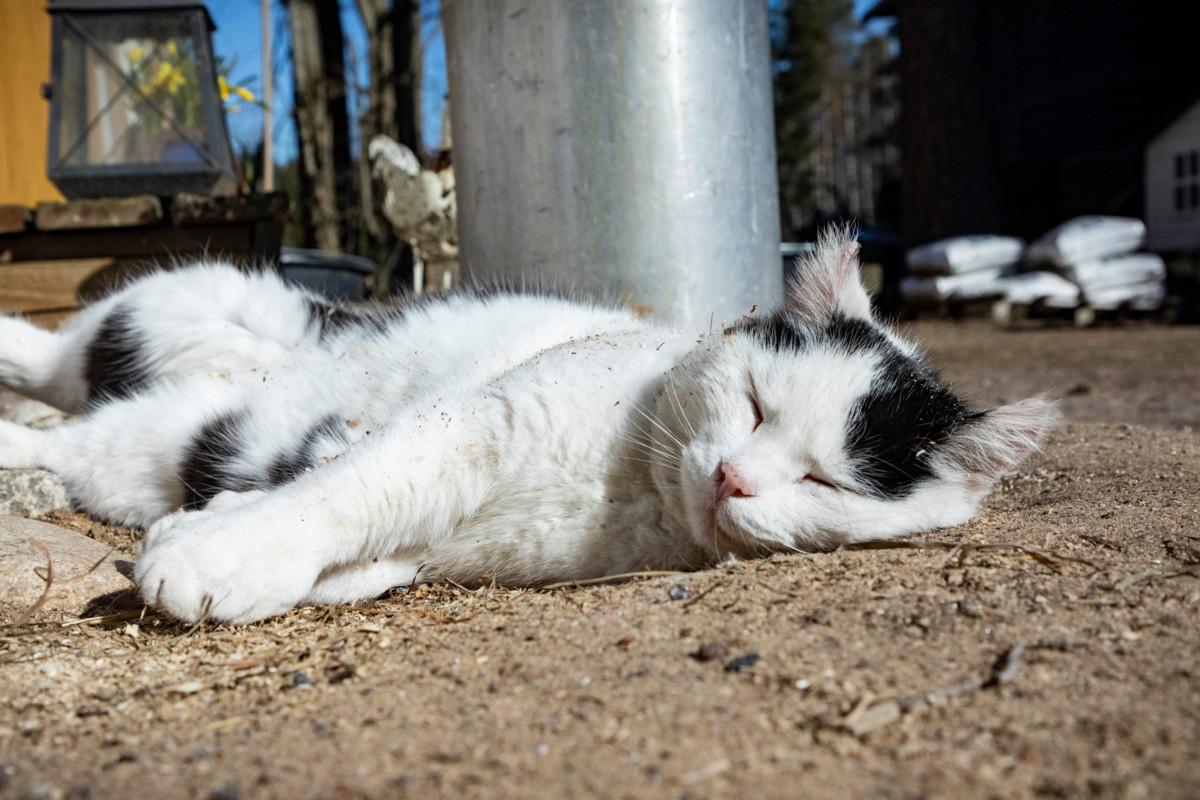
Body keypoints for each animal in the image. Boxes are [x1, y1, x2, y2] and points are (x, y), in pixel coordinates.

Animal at [0, 231, 1051, 623]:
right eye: (755, 400)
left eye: (823, 480)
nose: (734, 479)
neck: (635, 495)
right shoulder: (475, 425)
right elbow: (342, 492)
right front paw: (216, 554)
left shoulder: (436, 542)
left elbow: (362, 553)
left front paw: (222, 545)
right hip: (175, 315)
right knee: (46, 370)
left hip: (167, 432)